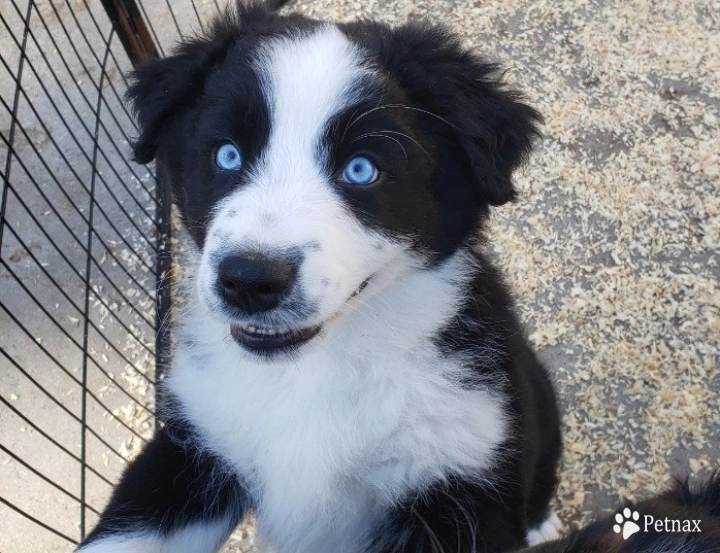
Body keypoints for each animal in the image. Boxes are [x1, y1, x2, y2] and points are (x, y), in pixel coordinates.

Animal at [77, 1, 564, 552]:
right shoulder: (193, 444)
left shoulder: (465, 474)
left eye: (361, 169)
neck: (311, 372)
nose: (250, 280)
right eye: (227, 154)